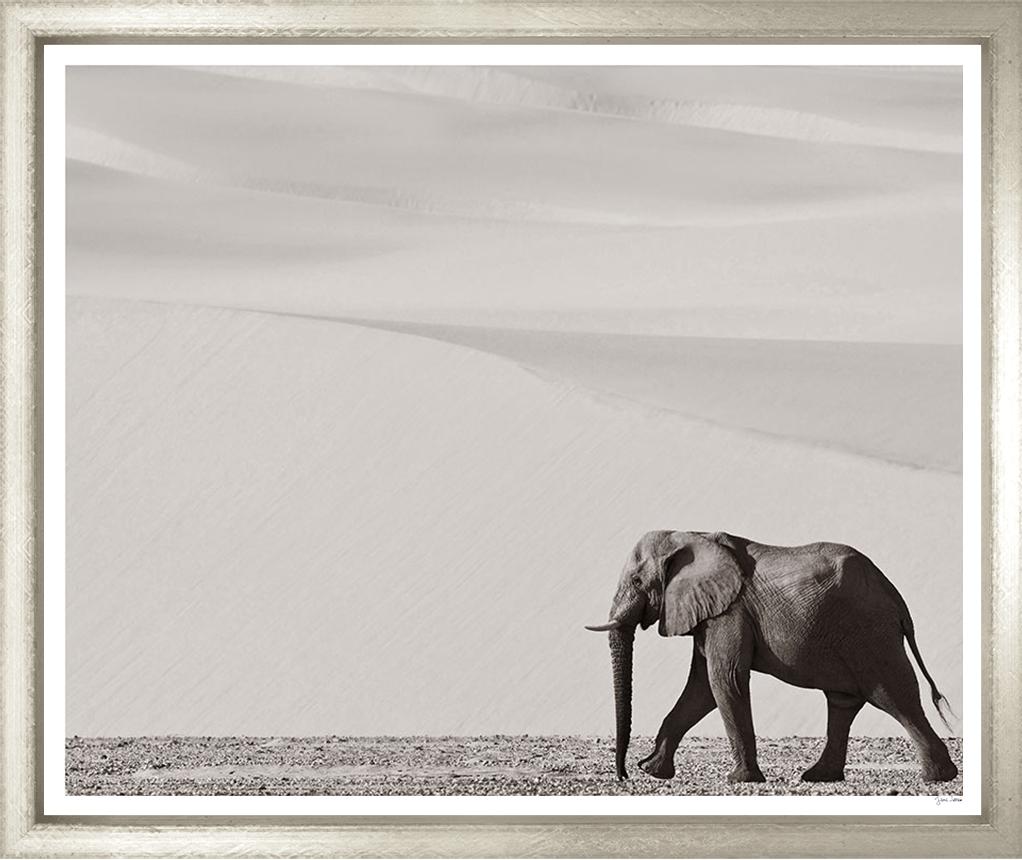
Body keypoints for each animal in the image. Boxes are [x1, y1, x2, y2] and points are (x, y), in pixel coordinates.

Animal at [586, 530, 958, 784]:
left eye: (637, 580)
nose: (624, 775)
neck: (691, 534)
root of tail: (896, 598)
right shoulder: (713, 613)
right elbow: (701, 688)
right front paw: (653, 771)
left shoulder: (731, 611)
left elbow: (724, 680)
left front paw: (739, 780)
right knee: (843, 703)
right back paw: (818, 776)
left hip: (871, 635)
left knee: (895, 696)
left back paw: (938, 777)